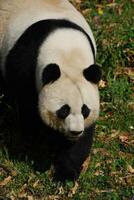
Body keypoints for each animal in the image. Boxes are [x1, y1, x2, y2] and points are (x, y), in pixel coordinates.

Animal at [0, 0, 101, 181]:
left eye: (85, 110)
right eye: (64, 110)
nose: (75, 131)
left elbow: (83, 139)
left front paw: (65, 174)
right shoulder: (23, 64)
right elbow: (27, 109)